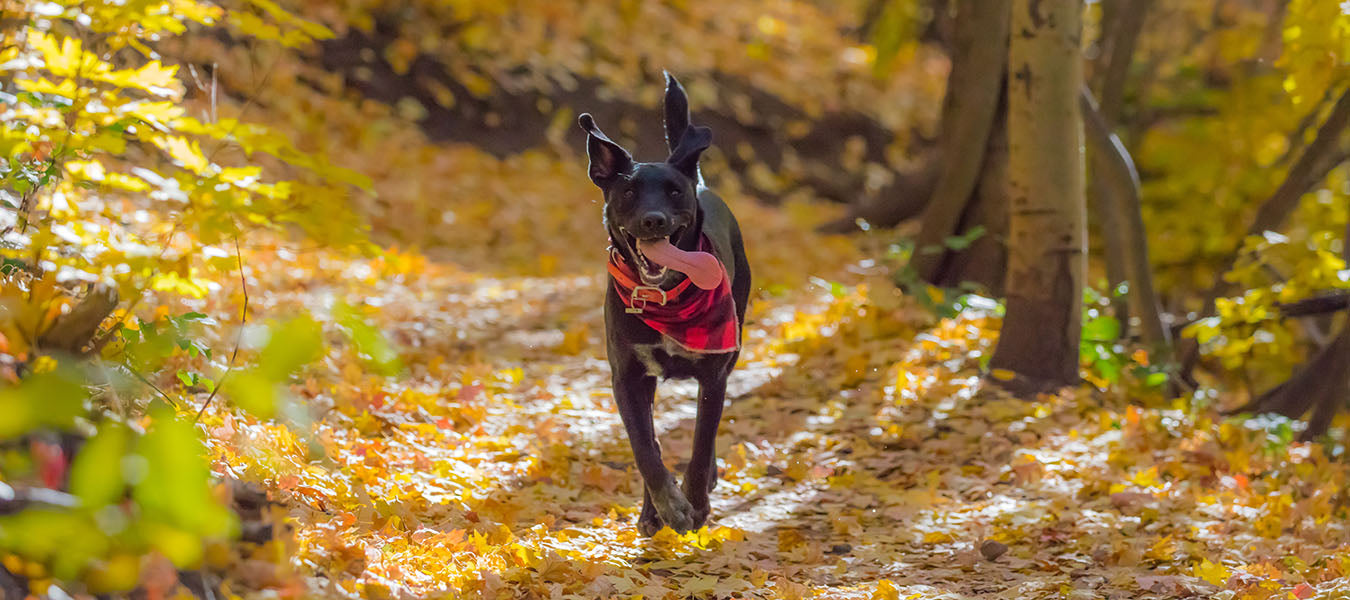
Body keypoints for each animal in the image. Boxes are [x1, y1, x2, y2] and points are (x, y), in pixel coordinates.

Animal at [577, 73, 756, 535]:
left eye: (674, 192)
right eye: (628, 191)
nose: (653, 219)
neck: (665, 298)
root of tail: (703, 182)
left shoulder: (713, 375)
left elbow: (700, 444)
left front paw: (695, 503)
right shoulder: (627, 377)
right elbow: (646, 448)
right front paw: (667, 506)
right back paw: (651, 511)